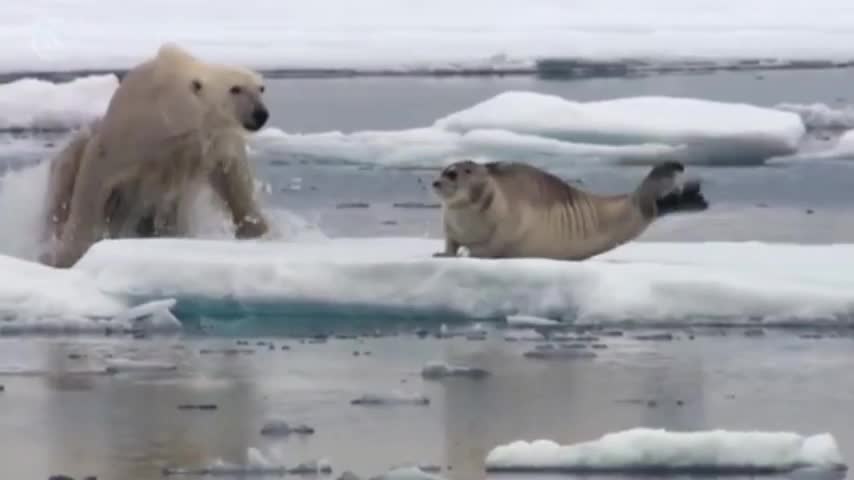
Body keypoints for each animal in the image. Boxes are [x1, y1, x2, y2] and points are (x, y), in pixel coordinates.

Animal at [41, 44, 270, 270]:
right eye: (235, 89)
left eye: (261, 88)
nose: (261, 114)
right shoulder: (131, 134)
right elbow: (95, 177)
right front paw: (68, 255)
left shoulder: (214, 142)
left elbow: (235, 180)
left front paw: (258, 230)